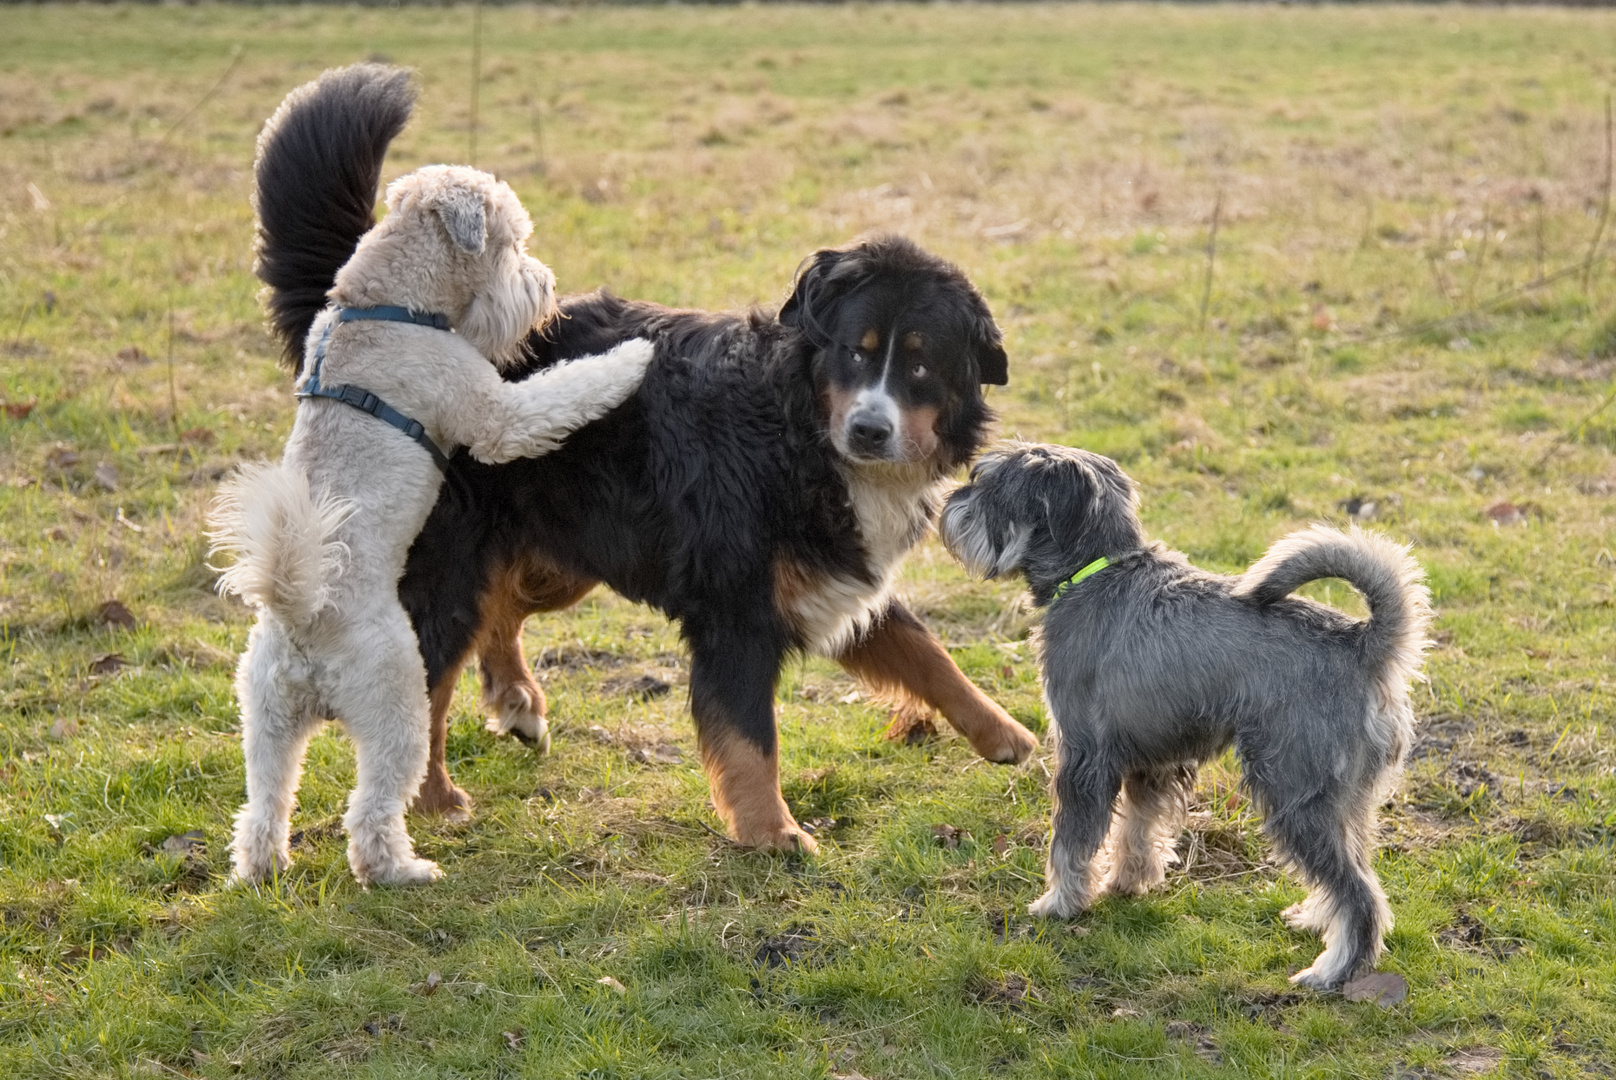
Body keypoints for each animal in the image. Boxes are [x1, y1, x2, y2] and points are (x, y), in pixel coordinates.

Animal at [211, 162, 652, 885]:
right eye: (512, 243)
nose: (547, 284)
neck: (383, 303)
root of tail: (303, 620)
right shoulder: (497, 416)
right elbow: (563, 392)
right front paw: (633, 357)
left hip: (266, 726)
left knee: (263, 808)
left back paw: (262, 869)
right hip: (397, 705)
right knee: (371, 812)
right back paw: (402, 870)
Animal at [252, 65, 1034, 853]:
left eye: (921, 366)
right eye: (855, 352)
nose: (871, 431)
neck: (797, 431)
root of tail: (391, 319)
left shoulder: (834, 574)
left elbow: (926, 652)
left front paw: (1004, 733)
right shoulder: (739, 608)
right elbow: (751, 737)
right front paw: (771, 832)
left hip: (563, 552)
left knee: (498, 611)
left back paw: (515, 701)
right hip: (457, 557)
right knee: (434, 673)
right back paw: (437, 795)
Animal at [943, 442, 1435, 989]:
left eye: (989, 485)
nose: (949, 504)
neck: (1095, 570)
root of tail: (1364, 645)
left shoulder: (1084, 756)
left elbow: (1071, 842)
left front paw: (1059, 903)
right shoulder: (1149, 762)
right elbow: (1137, 828)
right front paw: (1126, 883)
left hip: (1294, 793)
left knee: (1358, 892)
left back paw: (1332, 970)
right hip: (1346, 801)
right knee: (1358, 872)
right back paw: (1314, 918)